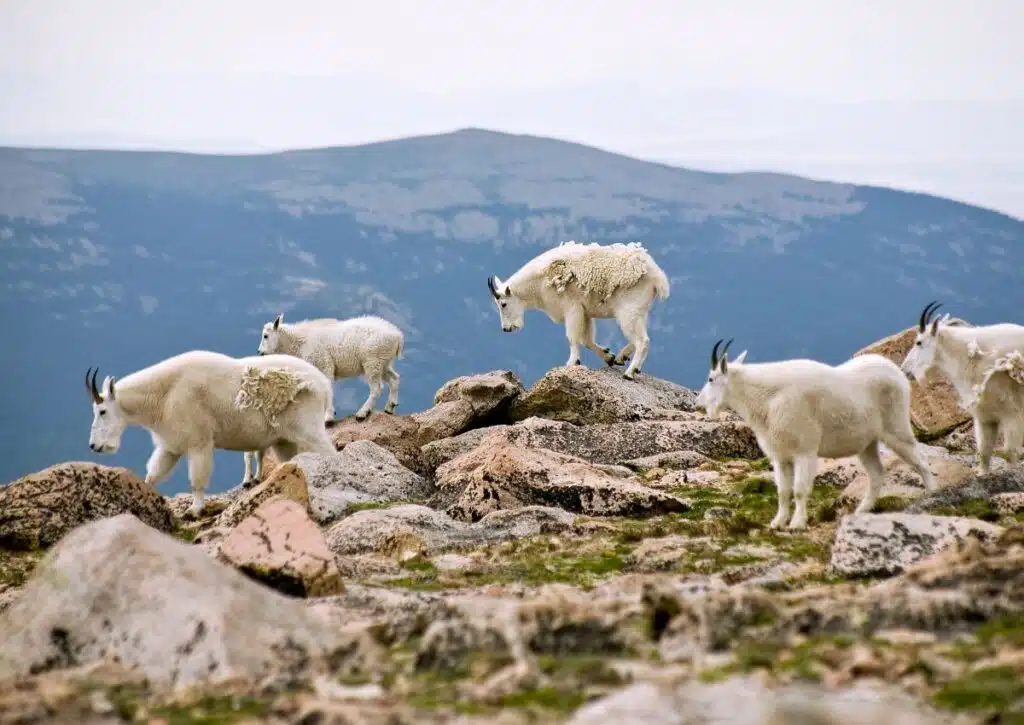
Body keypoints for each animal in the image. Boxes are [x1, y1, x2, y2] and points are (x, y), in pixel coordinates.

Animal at [82, 350, 335, 516]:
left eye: (102, 411)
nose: (94, 446)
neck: (163, 396)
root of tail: (324, 385)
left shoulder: (199, 442)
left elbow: (197, 479)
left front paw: (194, 510)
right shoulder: (170, 446)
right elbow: (153, 474)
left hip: (309, 429)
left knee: (329, 453)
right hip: (284, 440)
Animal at [487, 241, 671, 382]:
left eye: (503, 304)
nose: (507, 329)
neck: (539, 282)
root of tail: (657, 276)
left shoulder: (572, 308)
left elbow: (573, 337)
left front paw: (571, 362)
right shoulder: (585, 312)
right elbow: (587, 340)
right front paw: (608, 356)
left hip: (628, 311)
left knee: (642, 340)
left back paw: (630, 372)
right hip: (639, 311)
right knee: (639, 337)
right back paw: (621, 357)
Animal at [696, 339, 937, 532]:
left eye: (710, 378)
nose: (698, 403)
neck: (768, 399)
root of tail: (899, 375)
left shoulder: (805, 452)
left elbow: (799, 490)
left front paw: (796, 524)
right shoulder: (781, 457)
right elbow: (783, 491)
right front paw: (777, 523)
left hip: (896, 429)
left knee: (921, 462)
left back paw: (932, 498)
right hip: (867, 444)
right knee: (877, 473)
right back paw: (861, 510)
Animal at [901, 301, 1024, 475]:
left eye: (919, 342)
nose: (904, 370)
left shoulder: (1013, 415)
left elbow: (1010, 452)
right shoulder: (985, 417)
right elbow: (984, 450)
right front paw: (982, 474)